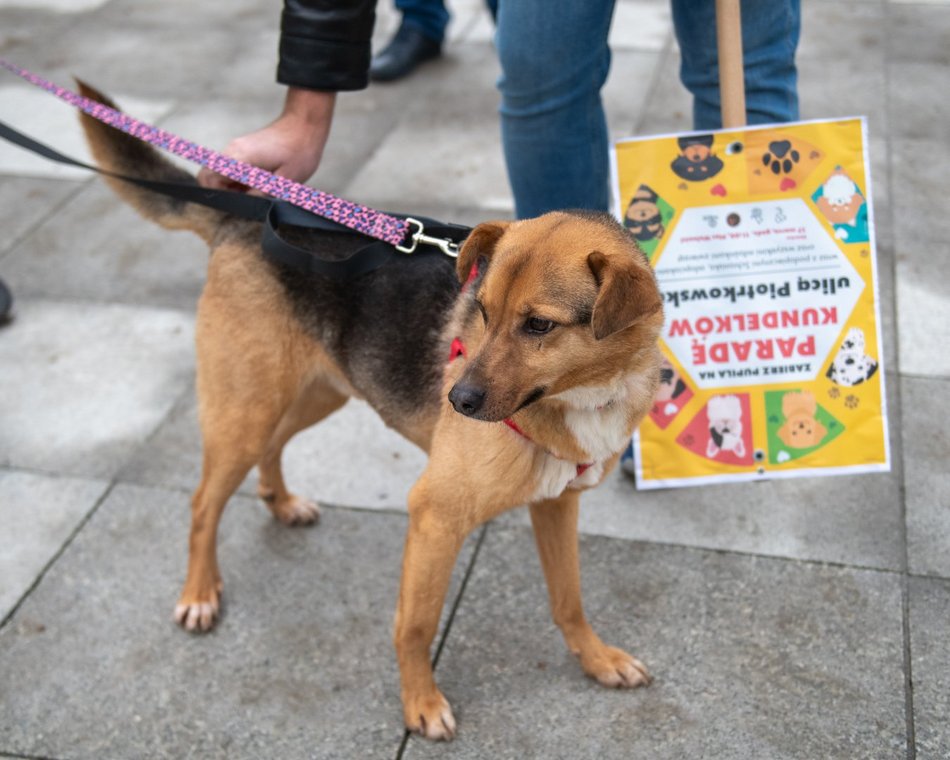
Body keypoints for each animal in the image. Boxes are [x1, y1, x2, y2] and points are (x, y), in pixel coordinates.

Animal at [78, 81, 660, 736]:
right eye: (482, 311)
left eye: (539, 326)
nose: (455, 400)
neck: (579, 394)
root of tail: (244, 217)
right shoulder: (434, 516)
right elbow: (416, 623)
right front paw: (420, 703)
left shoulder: (557, 505)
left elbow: (569, 599)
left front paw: (597, 659)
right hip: (246, 409)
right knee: (204, 502)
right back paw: (201, 593)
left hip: (317, 391)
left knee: (272, 448)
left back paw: (281, 503)